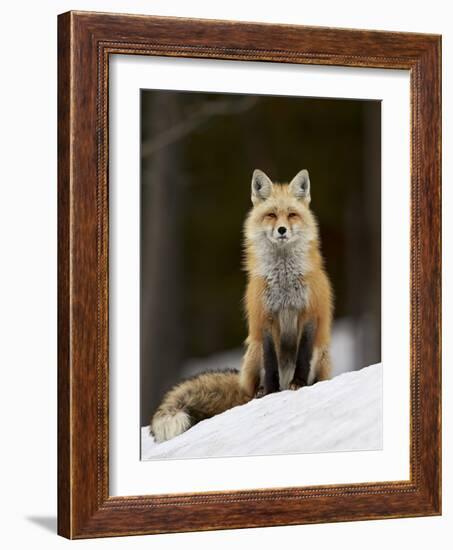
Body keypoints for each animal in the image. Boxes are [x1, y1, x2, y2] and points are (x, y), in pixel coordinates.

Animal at [149, 168, 332, 444]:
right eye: (271, 215)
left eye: (292, 214)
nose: (281, 230)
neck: (284, 280)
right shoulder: (264, 318)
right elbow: (270, 363)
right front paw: (271, 393)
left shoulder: (309, 313)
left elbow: (302, 355)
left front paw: (298, 384)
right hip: (252, 352)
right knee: (253, 384)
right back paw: (259, 393)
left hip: (321, 354)